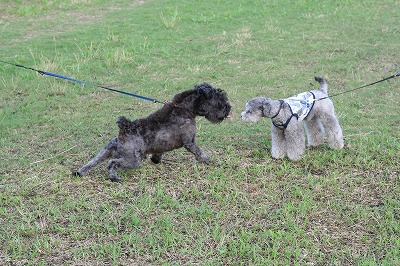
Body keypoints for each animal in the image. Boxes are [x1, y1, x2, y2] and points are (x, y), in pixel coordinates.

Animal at [72, 83, 231, 182]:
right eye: (219, 101)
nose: (229, 108)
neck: (185, 109)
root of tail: (124, 129)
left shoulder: (162, 145)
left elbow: (159, 152)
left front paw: (156, 160)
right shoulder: (190, 142)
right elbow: (201, 153)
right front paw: (210, 162)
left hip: (105, 151)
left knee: (91, 163)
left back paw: (80, 172)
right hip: (134, 160)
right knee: (112, 163)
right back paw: (113, 177)